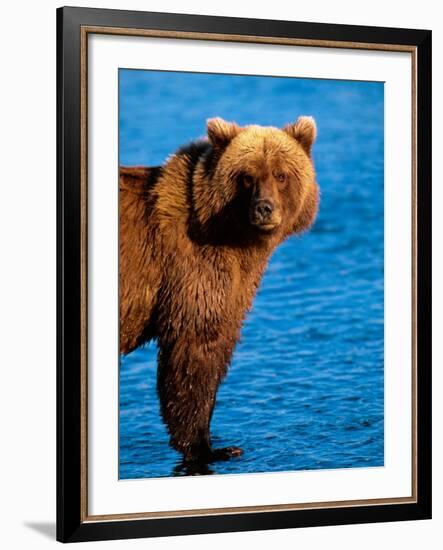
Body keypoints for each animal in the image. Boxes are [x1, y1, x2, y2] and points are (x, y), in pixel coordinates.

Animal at [119, 116, 320, 466]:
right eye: (247, 176)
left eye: (280, 174)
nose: (264, 208)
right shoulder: (192, 270)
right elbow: (195, 351)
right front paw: (210, 447)